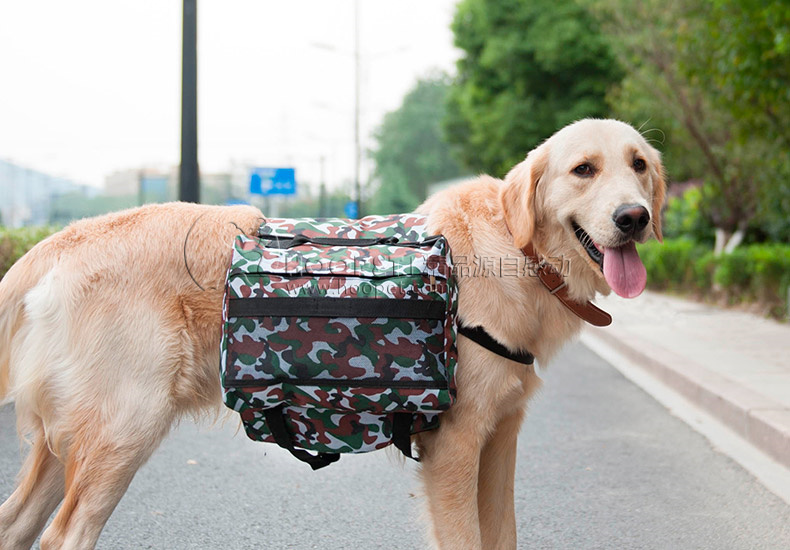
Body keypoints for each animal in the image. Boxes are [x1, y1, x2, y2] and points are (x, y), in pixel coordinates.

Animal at [0, 118, 668, 548]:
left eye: (638, 165)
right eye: (583, 170)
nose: (634, 217)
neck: (515, 249)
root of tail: (53, 244)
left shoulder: (501, 438)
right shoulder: (455, 446)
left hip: (74, 438)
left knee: (17, 524)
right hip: (125, 427)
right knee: (63, 536)